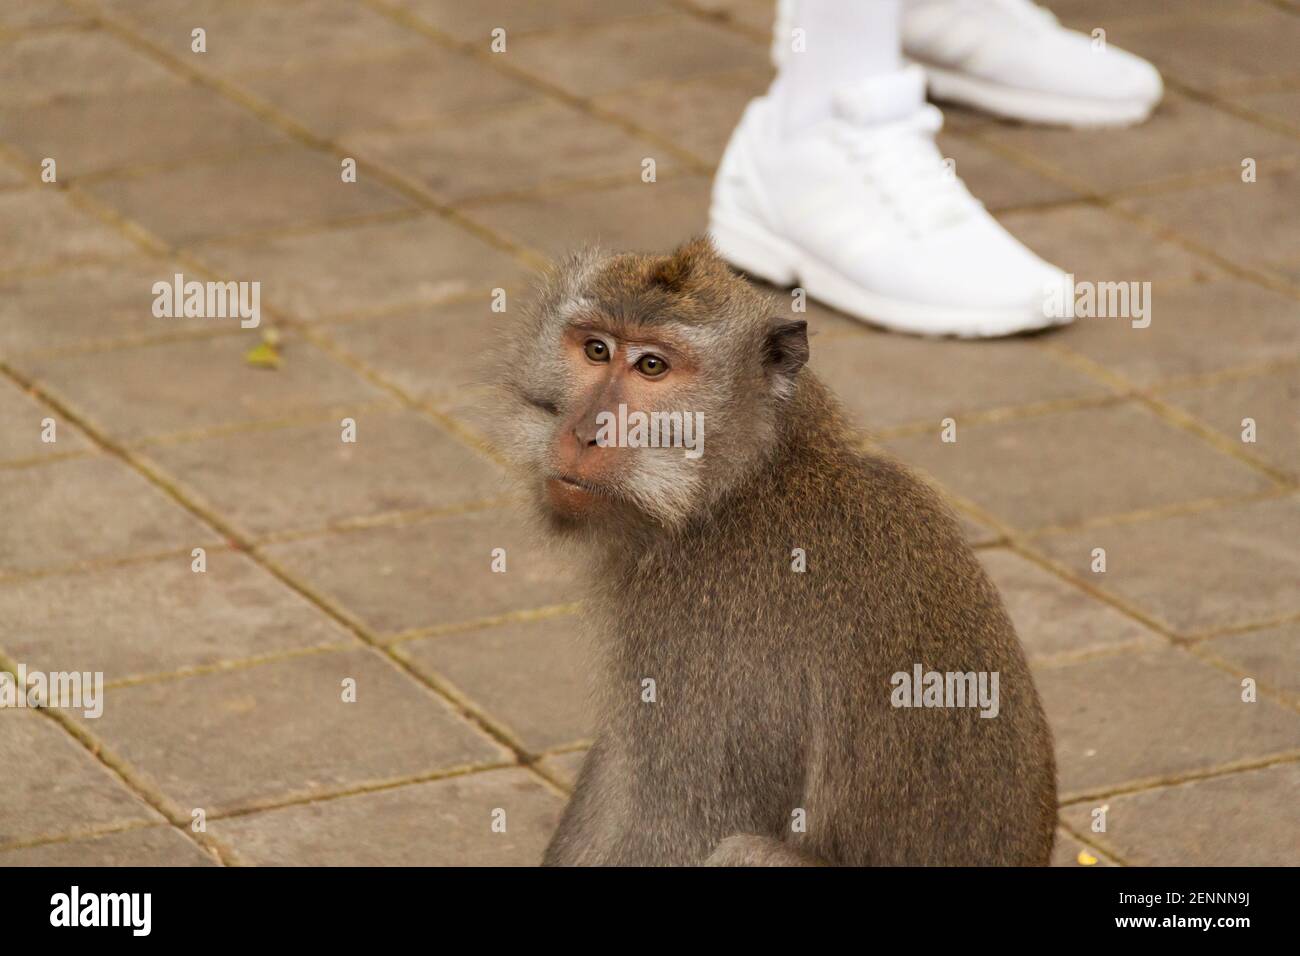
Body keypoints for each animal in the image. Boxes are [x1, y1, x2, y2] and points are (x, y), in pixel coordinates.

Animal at [493, 235, 1055, 863]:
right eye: (596, 350)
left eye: (652, 366)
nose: (586, 433)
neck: (744, 482)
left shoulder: (708, 632)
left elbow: (681, 825)